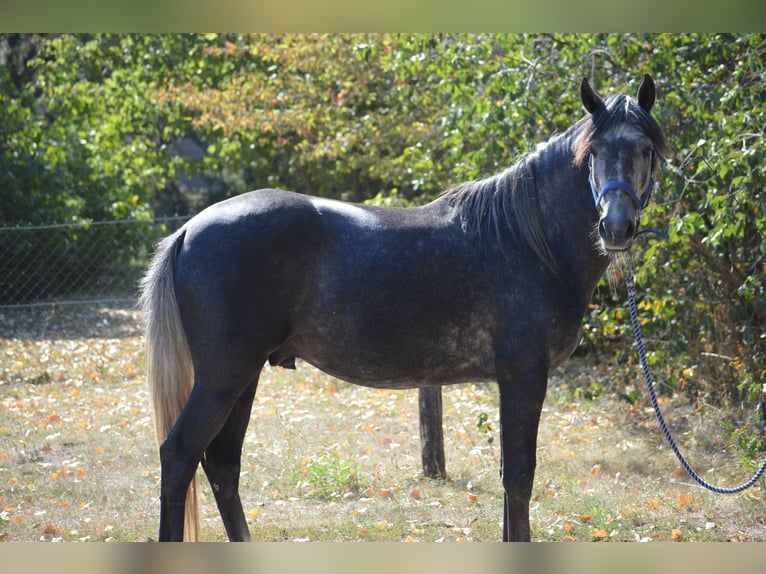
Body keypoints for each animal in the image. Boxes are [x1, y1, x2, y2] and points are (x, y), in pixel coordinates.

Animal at [140, 74, 672, 541]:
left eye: (646, 151)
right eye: (593, 154)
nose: (616, 227)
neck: (527, 240)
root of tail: (190, 228)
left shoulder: (513, 380)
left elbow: (508, 475)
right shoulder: (524, 376)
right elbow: (520, 476)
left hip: (243, 376)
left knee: (222, 464)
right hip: (223, 377)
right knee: (180, 455)